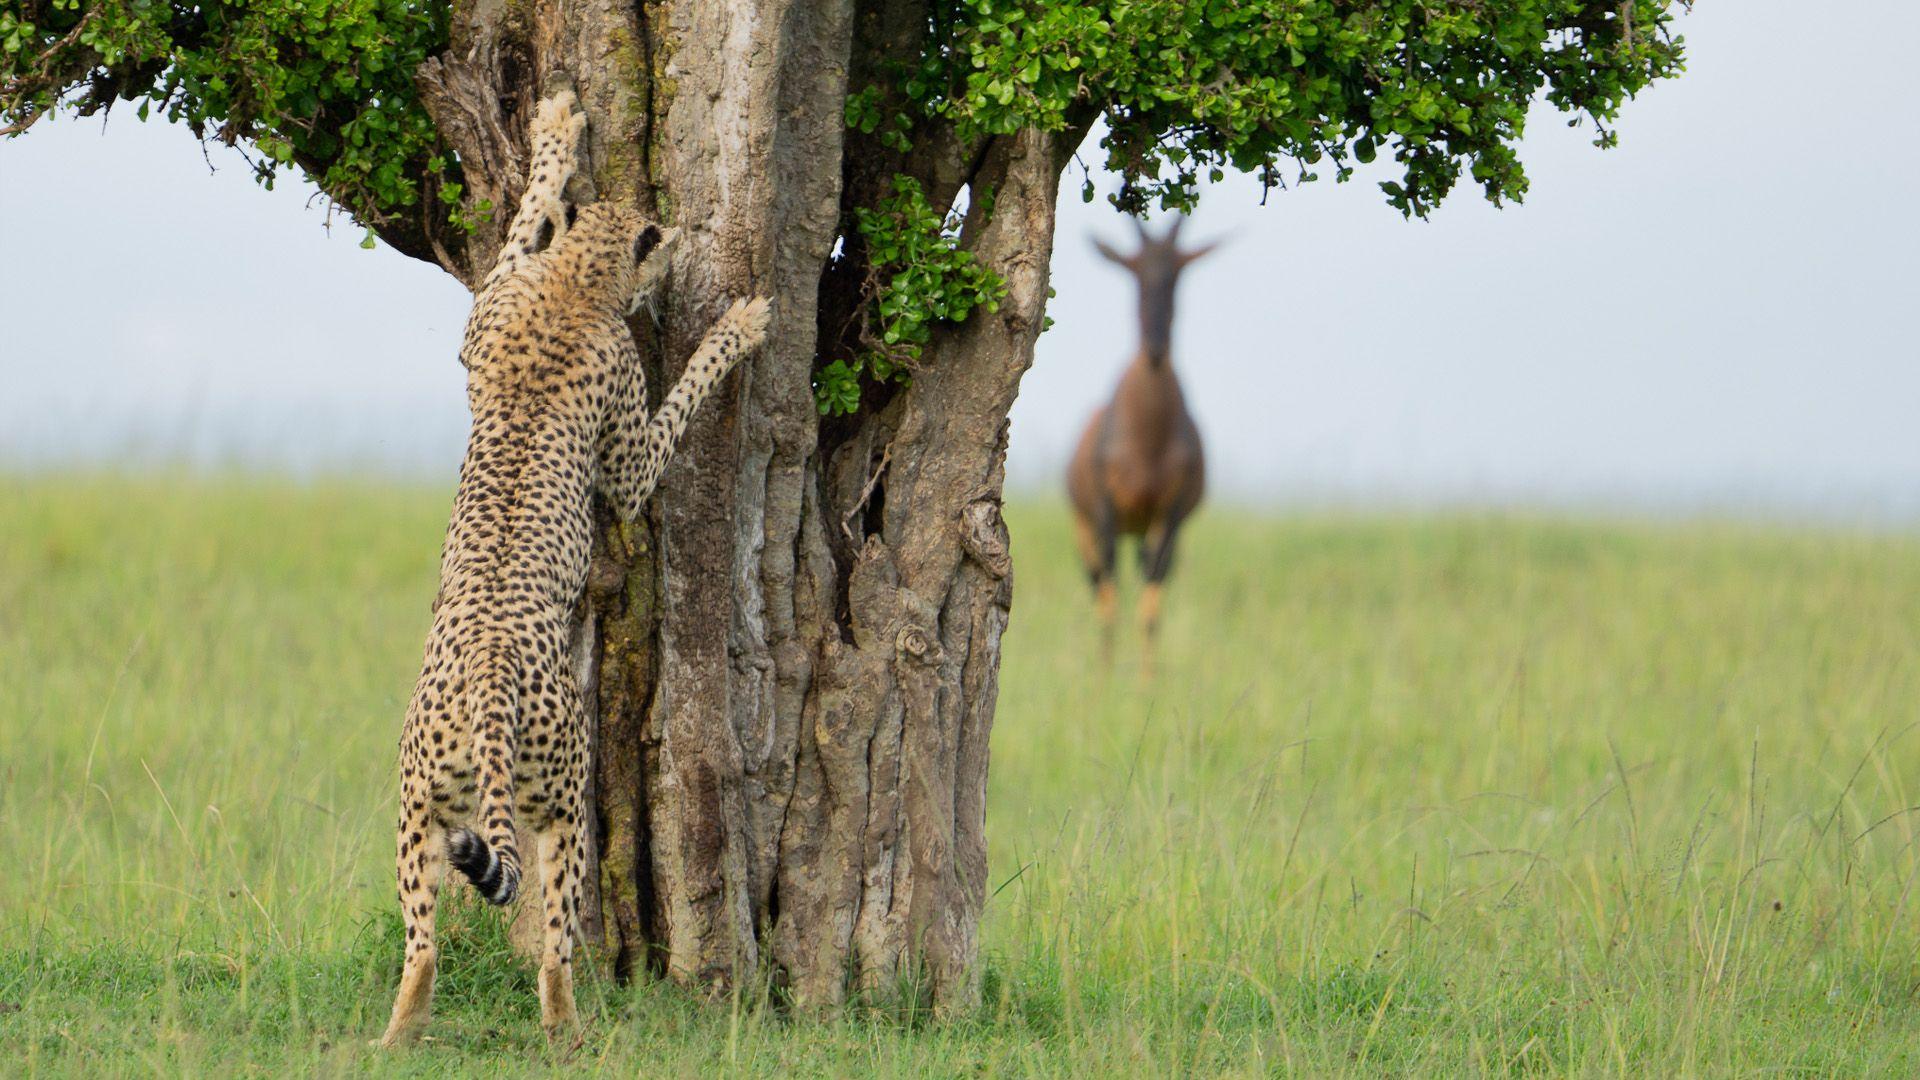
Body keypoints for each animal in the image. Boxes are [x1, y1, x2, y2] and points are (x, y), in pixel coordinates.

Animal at [378, 88, 768, 1045]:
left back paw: (398, 1032)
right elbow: (675, 407)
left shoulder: (482, 318)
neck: (576, 285)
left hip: (418, 808)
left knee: (422, 943)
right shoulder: (624, 460)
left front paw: (555, 136)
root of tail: (487, 677)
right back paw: (568, 1032)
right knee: (555, 938)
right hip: (562, 800)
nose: (678, 248)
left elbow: (524, 219)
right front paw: (736, 328)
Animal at [1067, 215, 1213, 664]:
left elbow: (1150, 607)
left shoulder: (1171, 516)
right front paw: (1105, 676)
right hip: (1087, 527)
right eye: (1132, 270)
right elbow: (1110, 602)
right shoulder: (1105, 513)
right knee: (1098, 584)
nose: (1156, 348)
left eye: (1180, 271)